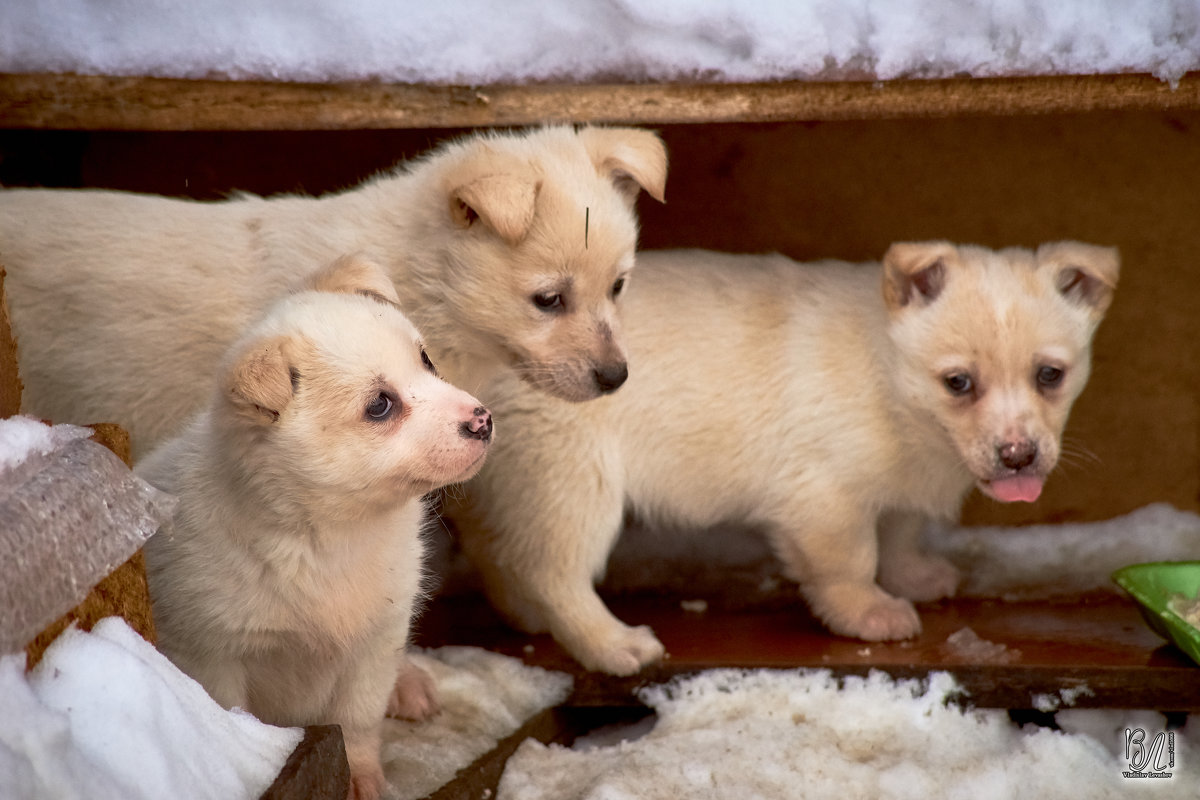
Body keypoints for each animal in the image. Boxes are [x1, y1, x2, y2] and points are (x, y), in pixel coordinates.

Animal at [139, 256, 492, 800]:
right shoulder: (211, 658)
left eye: (426, 360)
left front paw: (364, 780)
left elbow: (357, 725)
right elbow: (236, 720)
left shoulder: (374, 644)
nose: (483, 421)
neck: (326, 535)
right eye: (380, 405)